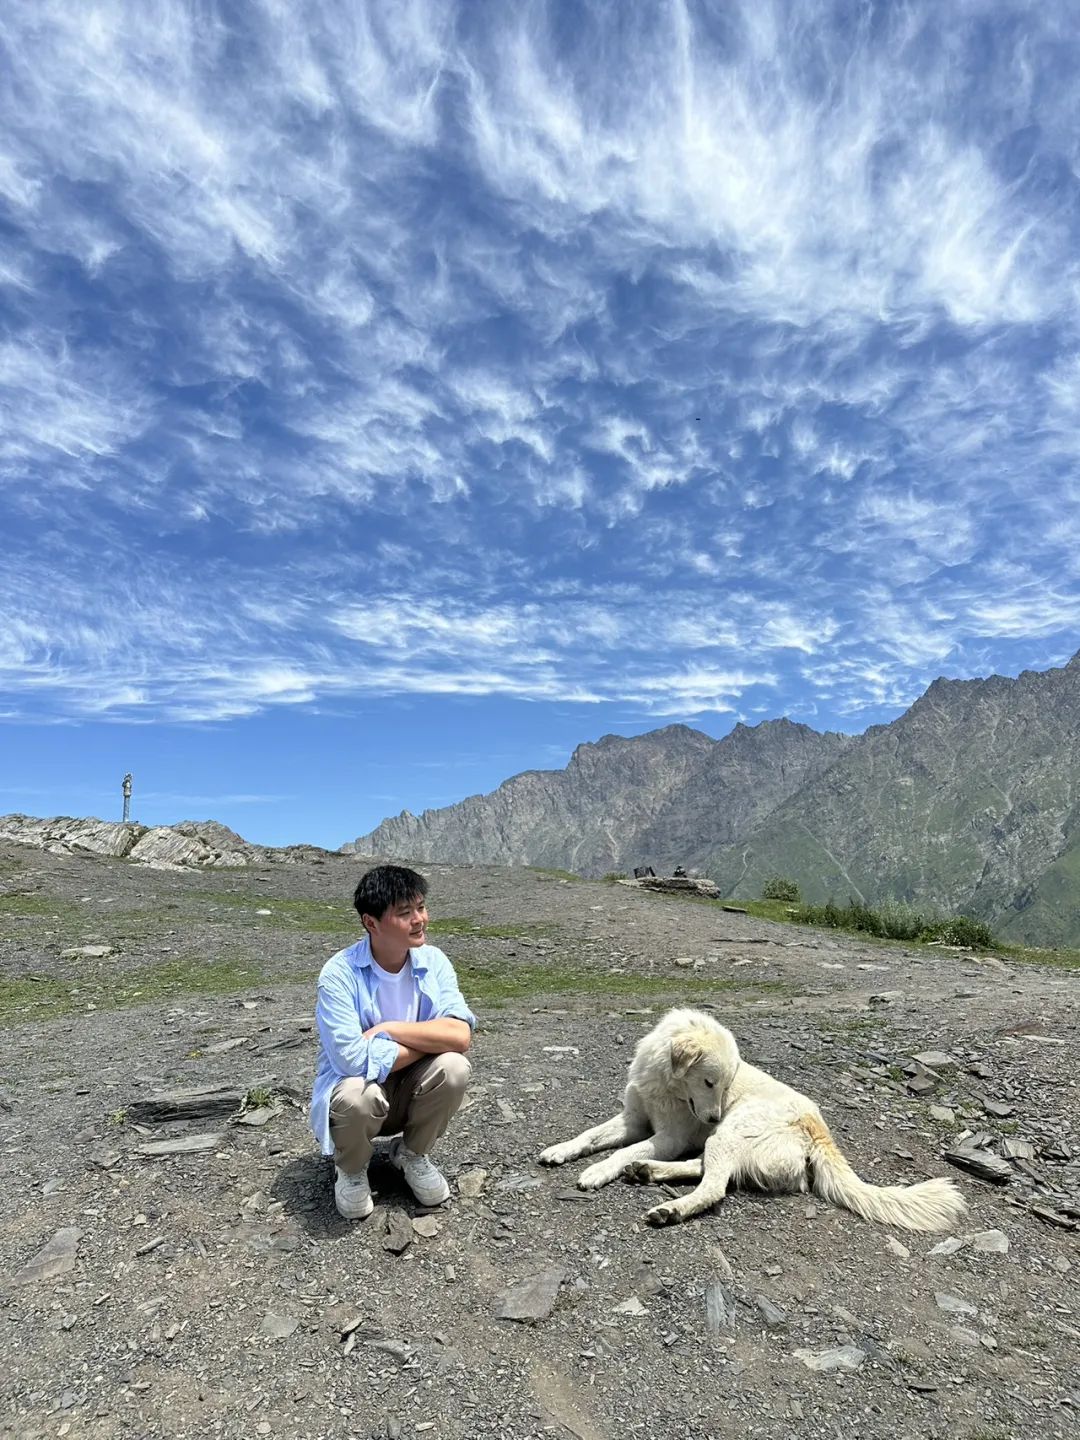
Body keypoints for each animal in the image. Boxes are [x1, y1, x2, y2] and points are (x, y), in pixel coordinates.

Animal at [541, 1008, 973, 1232]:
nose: (713, 1115)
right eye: (709, 1081)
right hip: (724, 1139)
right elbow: (589, 1135)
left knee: (715, 1186)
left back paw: (671, 1208)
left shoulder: (668, 1136)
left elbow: (617, 1153)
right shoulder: (633, 1120)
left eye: (725, 1085)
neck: (665, 1082)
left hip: (730, 1132)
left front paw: (597, 1171)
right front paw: (559, 1150)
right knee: (708, 1169)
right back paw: (647, 1171)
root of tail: (818, 1128)